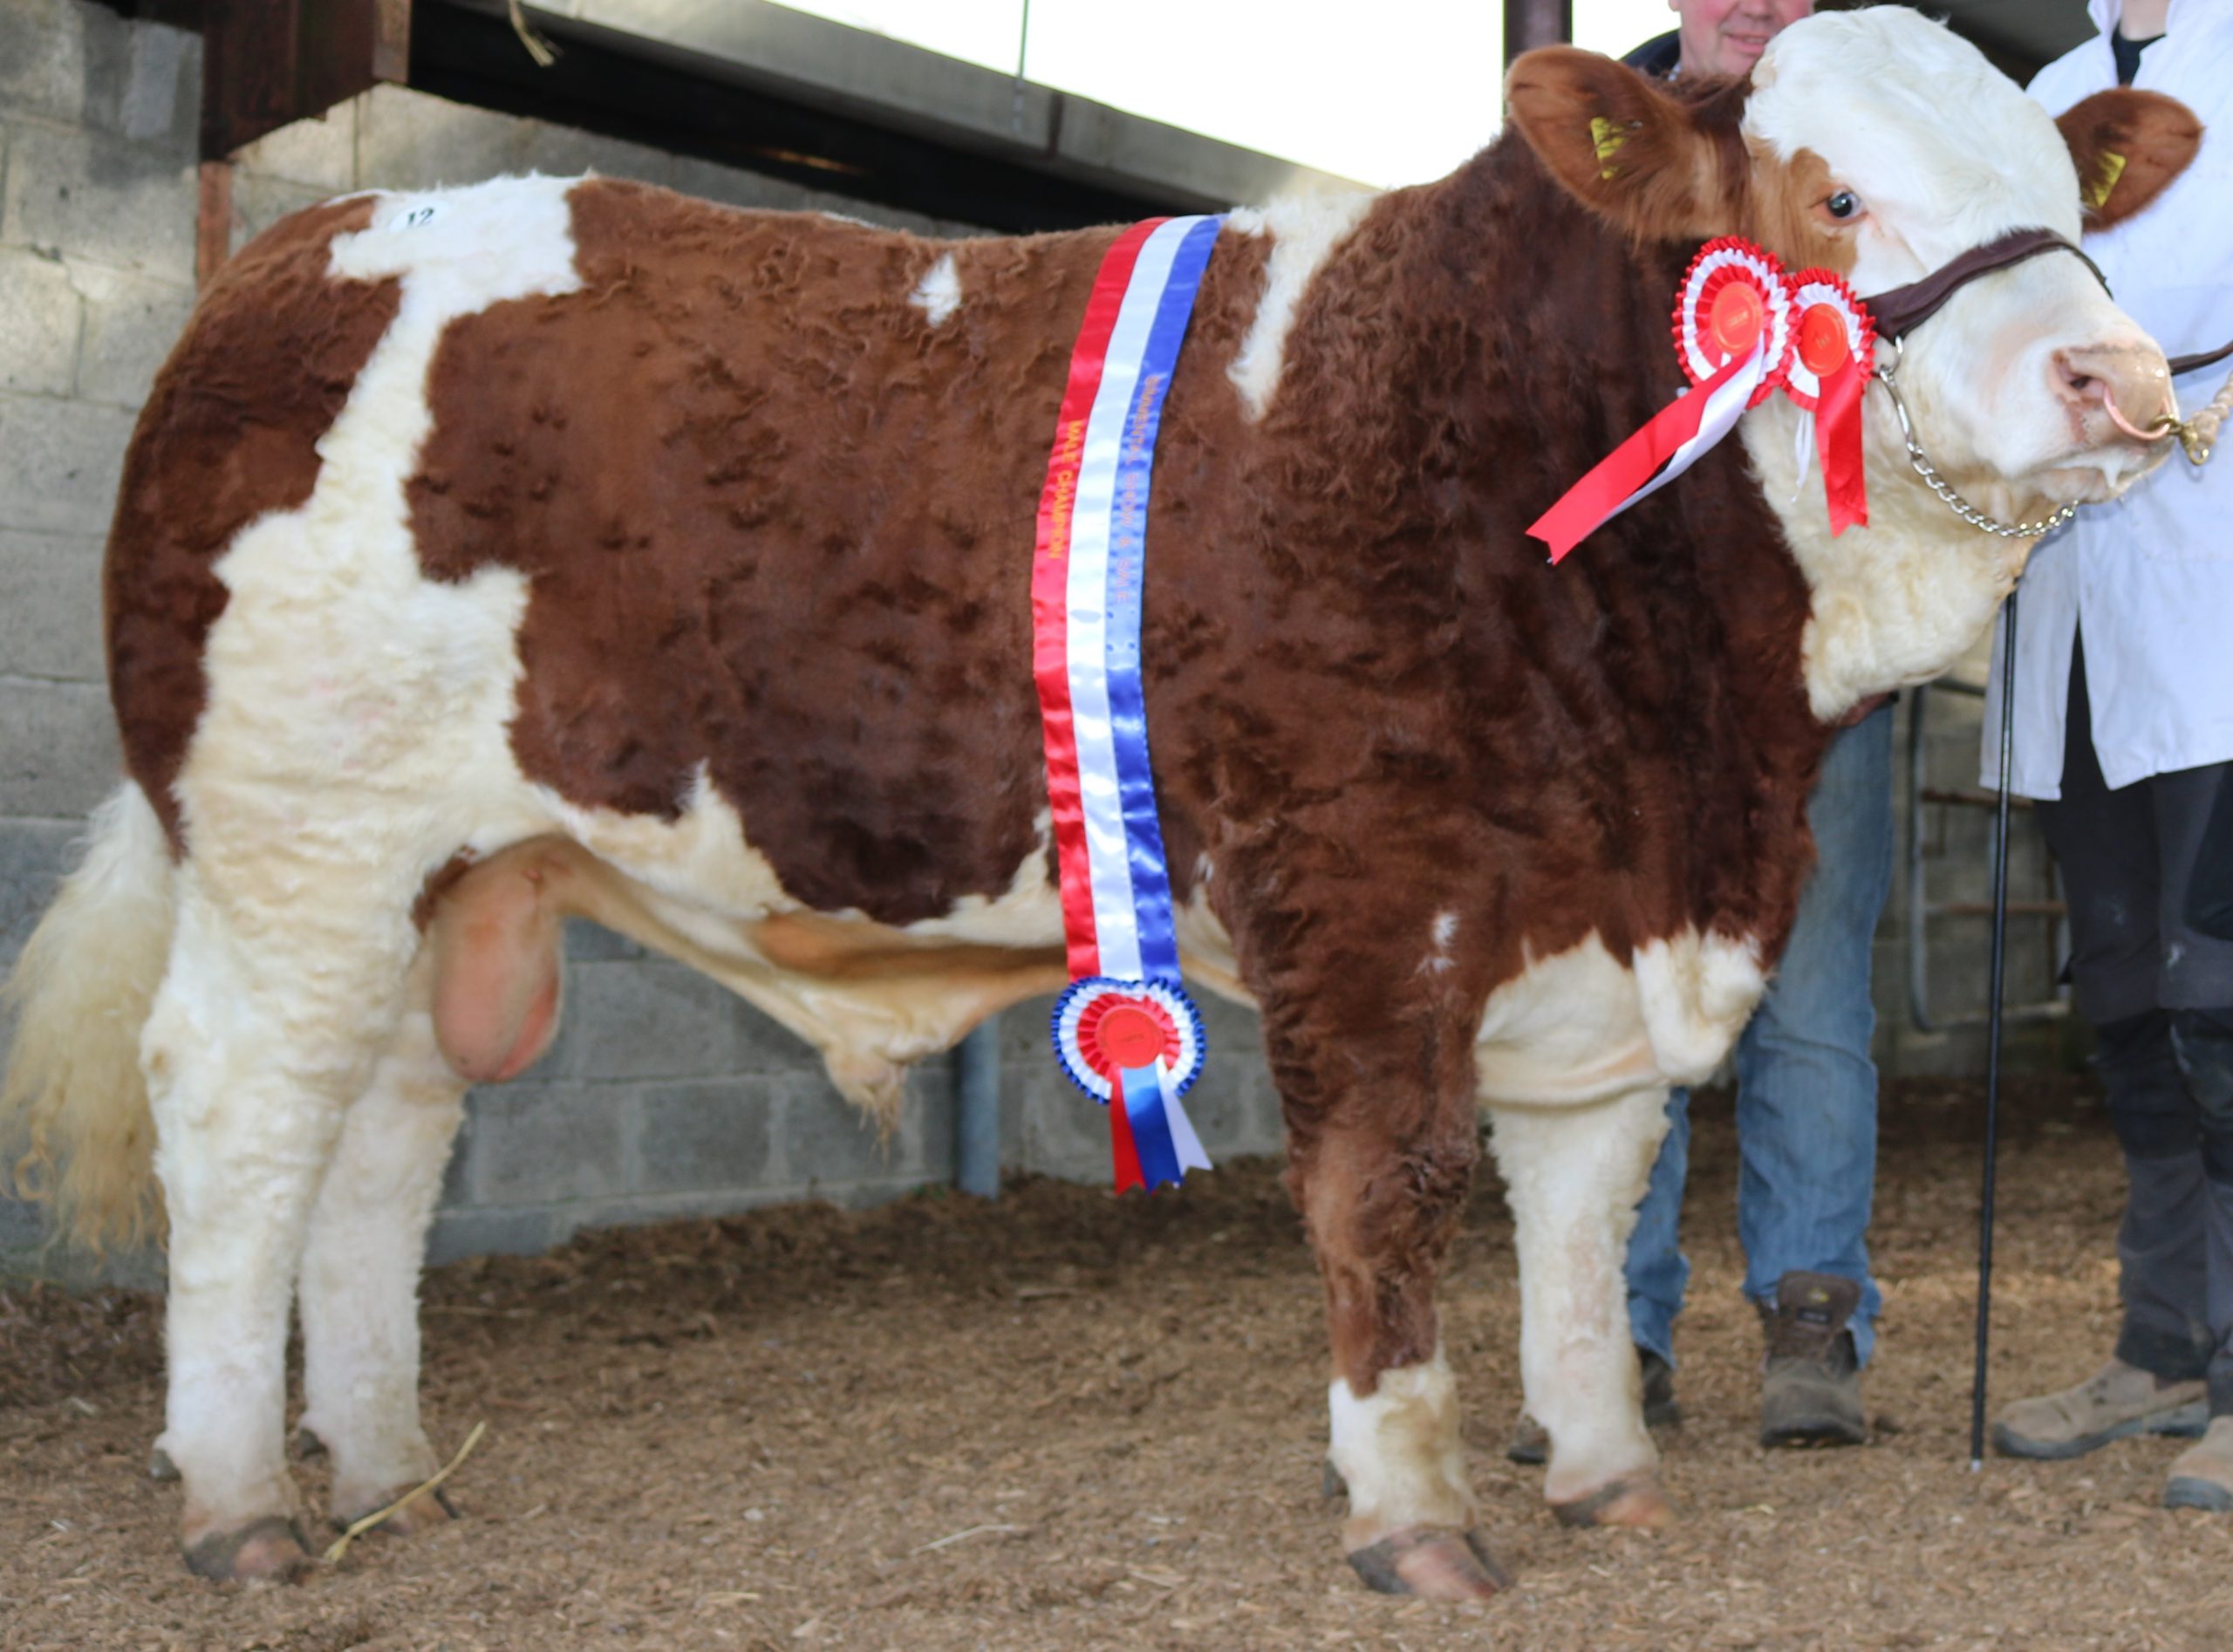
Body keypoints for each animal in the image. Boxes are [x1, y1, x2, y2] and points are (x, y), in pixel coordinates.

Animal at [0, 8, 2201, 1598]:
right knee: (241, 1113)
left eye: (2061, 190)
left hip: (462, 866)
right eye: (1831, 192)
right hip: (298, 832)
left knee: (382, 1137)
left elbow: (1581, 1198)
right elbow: (1391, 1185)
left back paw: (385, 1465)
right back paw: (241, 1501)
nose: (2114, 380)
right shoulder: (1360, 883)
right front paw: (1411, 1510)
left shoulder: (1604, 909)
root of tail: (308, 243)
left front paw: (1600, 1470)